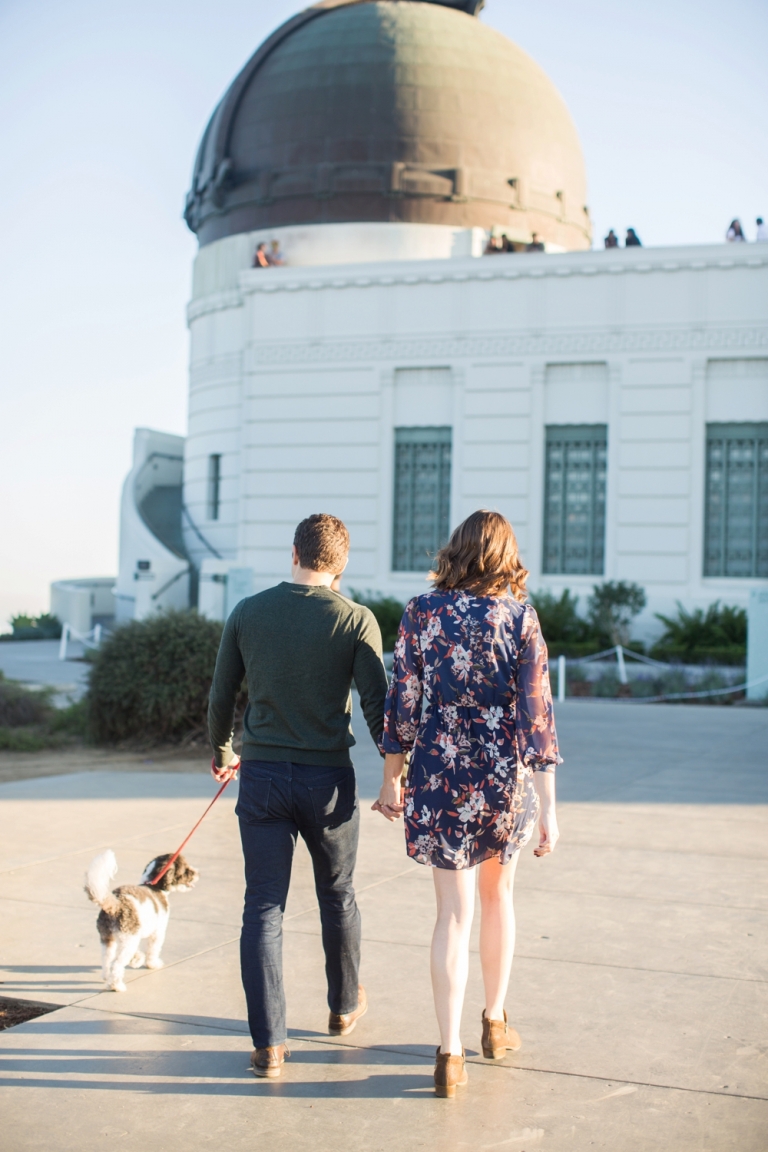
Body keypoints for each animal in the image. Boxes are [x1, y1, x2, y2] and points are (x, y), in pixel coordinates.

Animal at [83, 852, 198, 995]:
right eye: (186, 870)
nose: (197, 873)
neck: (155, 886)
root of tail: (116, 904)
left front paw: (136, 959)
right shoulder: (157, 933)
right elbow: (153, 949)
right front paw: (152, 964)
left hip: (108, 937)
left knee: (107, 960)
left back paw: (107, 979)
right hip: (128, 938)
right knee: (116, 964)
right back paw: (116, 986)